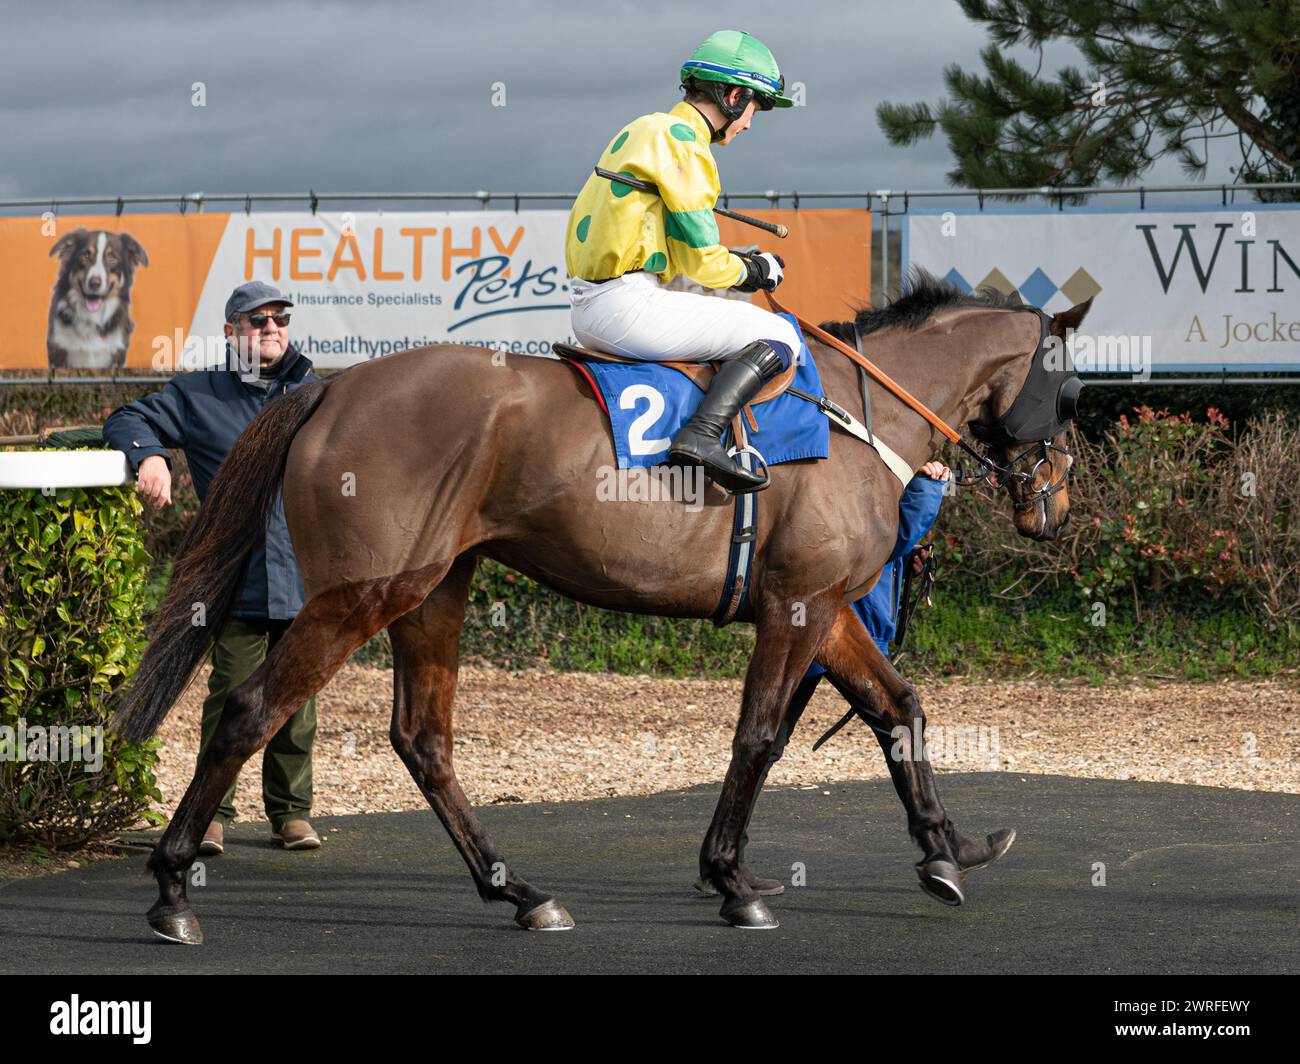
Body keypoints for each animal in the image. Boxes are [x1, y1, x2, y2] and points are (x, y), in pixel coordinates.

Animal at [109, 269, 1086, 941]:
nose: (1056, 506)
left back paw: (517, 890)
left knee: (423, 739)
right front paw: (732, 882)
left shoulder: (829, 607)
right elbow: (760, 738)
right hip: (362, 596)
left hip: (434, 590)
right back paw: (170, 889)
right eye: (1073, 390)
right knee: (247, 712)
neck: (855, 413)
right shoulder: (800, 608)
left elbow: (900, 708)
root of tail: (331, 387)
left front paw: (949, 851)